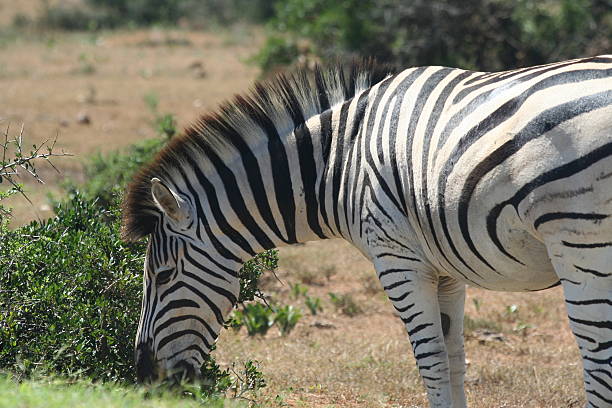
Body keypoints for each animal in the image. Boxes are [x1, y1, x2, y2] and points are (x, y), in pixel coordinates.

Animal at [122, 55, 612, 406]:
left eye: (162, 276)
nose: (145, 378)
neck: (338, 162)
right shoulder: (445, 268)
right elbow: (454, 359)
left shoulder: (397, 261)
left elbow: (431, 363)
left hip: (582, 248)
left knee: (599, 364)